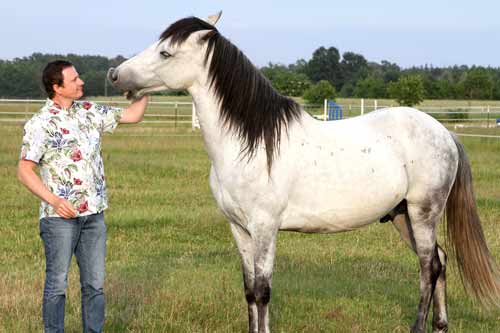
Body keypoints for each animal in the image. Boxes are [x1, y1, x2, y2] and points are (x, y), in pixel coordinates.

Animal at [106, 13, 500, 332]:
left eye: (165, 53)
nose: (115, 74)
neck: (249, 143)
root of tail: (444, 132)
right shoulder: (239, 229)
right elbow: (248, 290)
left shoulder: (265, 227)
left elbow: (263, 291)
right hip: (401, 216)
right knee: (440, 262)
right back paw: (440, 326)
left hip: (423, 213)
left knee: (427, 268)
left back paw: (419, 327)